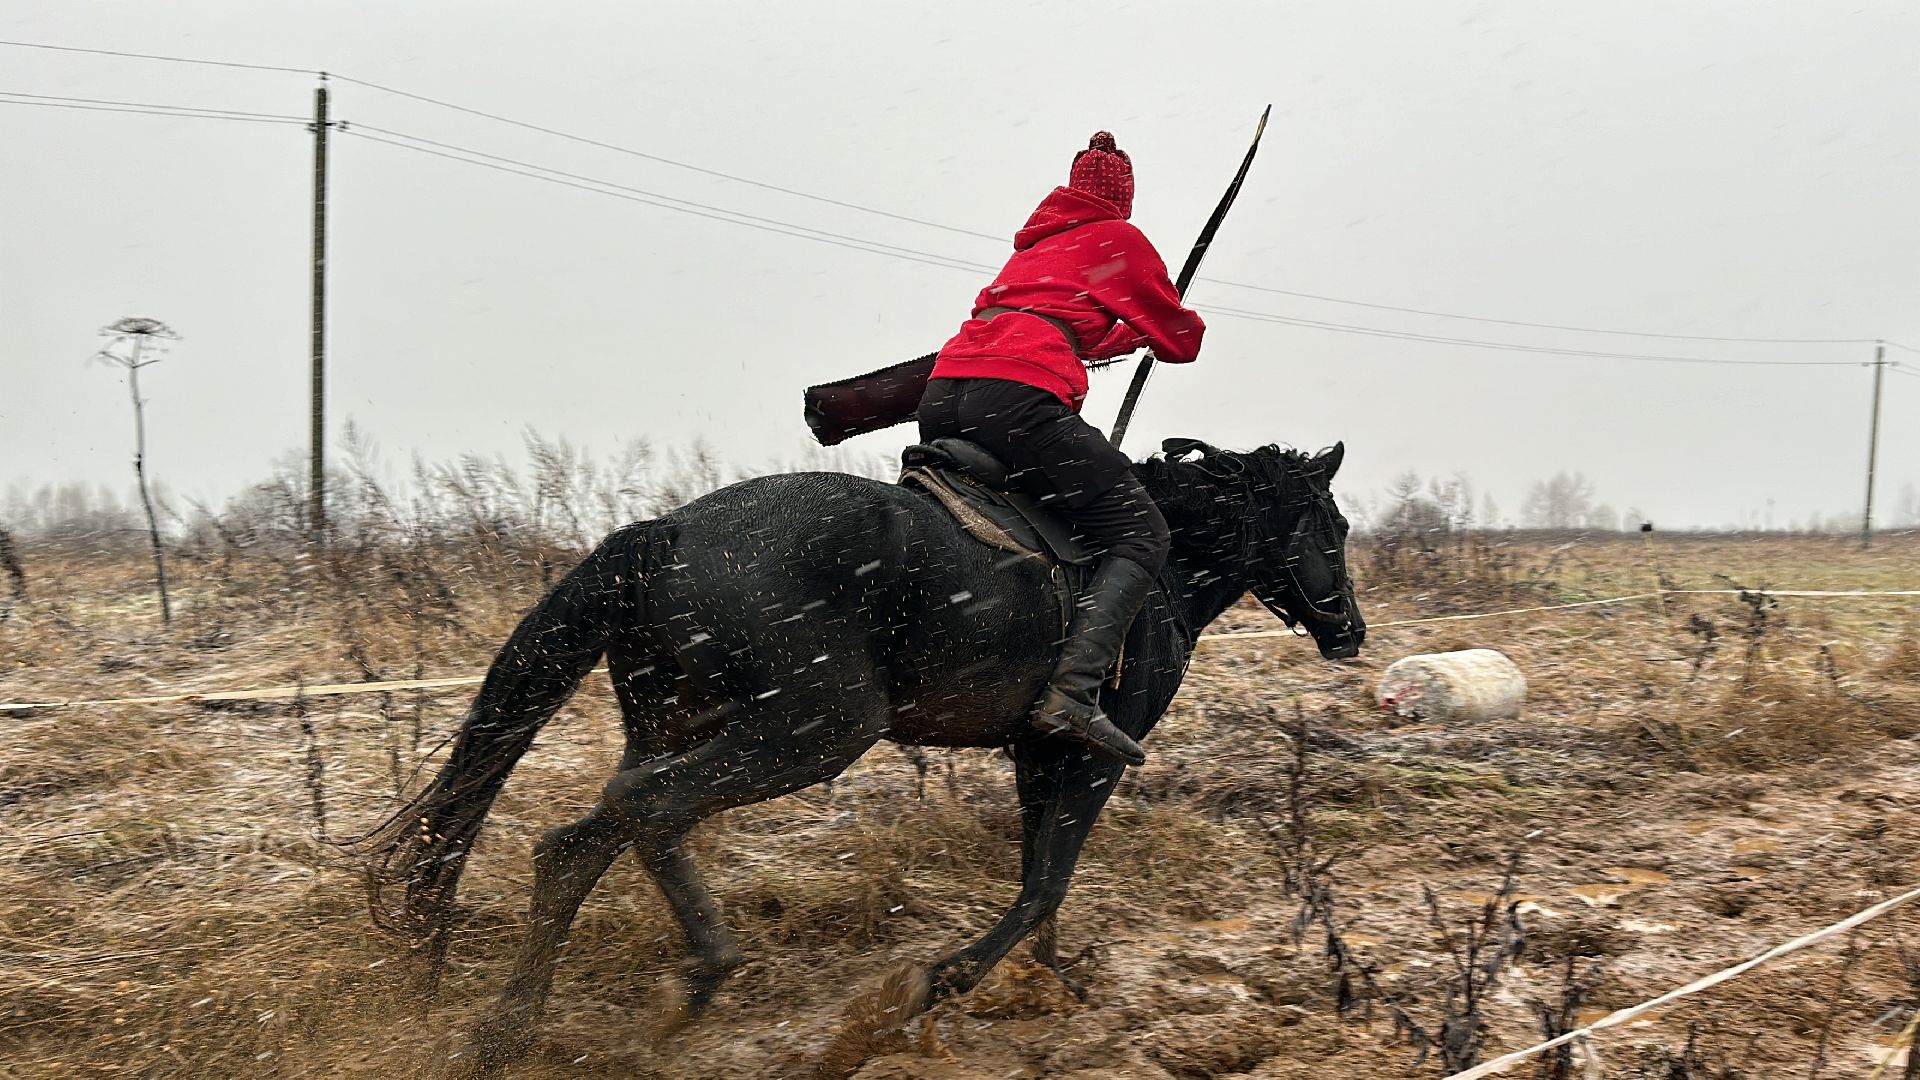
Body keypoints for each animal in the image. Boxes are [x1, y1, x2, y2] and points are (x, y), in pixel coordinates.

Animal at [353, 436, 1365, 1074]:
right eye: (1334, 526)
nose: (1350, 629)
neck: (1167, 567)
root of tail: (667, 533)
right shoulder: (1094, 756)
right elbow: (1047, 882)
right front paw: (942, 983)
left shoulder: (1039, 756)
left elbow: (1040, 882)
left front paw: (1045, 993)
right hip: (808, 731)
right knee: (648, 808)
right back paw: (703, 975)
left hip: (680, 723)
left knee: (581, 842)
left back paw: (511, 1031)